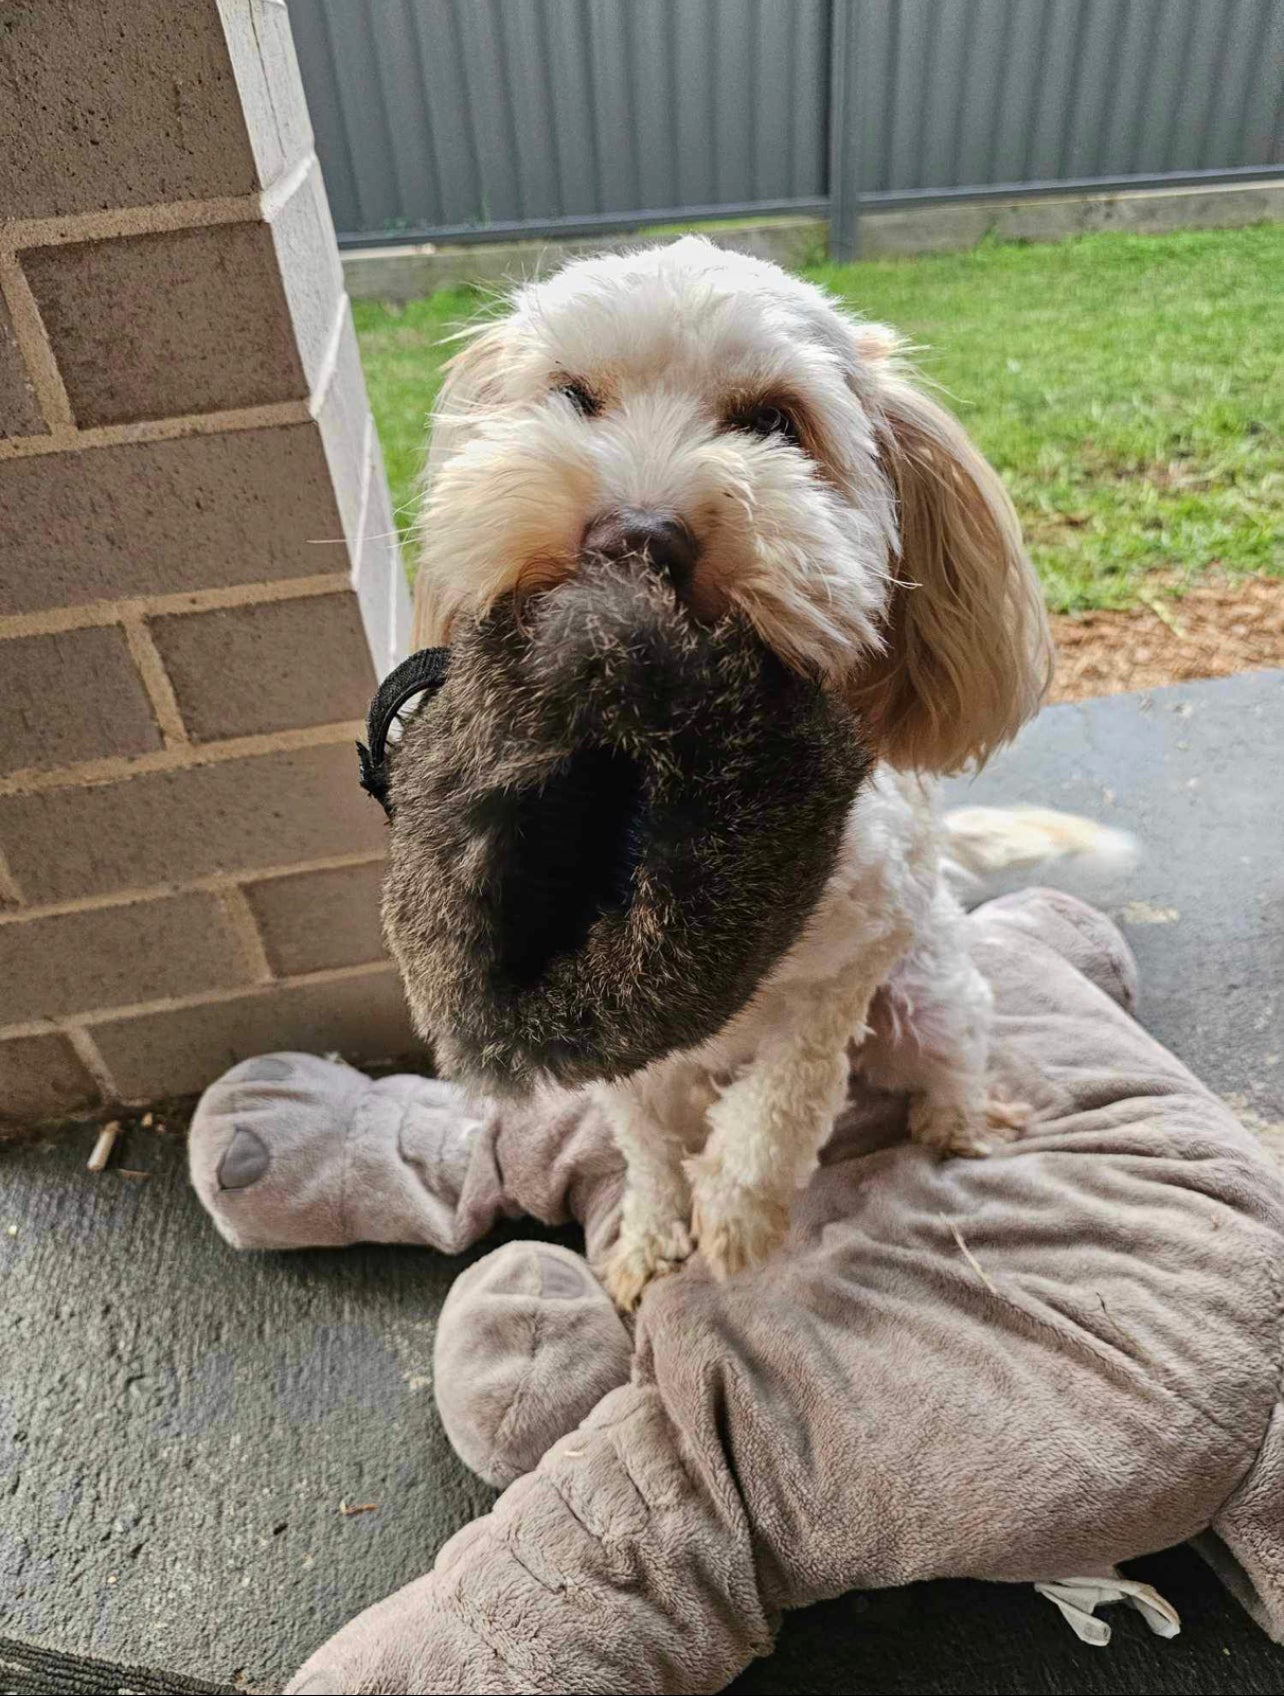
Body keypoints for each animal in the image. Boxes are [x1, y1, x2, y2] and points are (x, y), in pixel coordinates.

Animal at [413, 235, 1119, 1309]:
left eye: (777, 422)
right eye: (573, 396)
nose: (636, 539)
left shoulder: (846, 967)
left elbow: (785, 1100)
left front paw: (739, 1216)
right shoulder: (617, 1037)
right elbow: (645, 1139)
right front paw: (654, 1230)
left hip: (928, 998)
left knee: (954, 1051)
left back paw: (958, 1122)